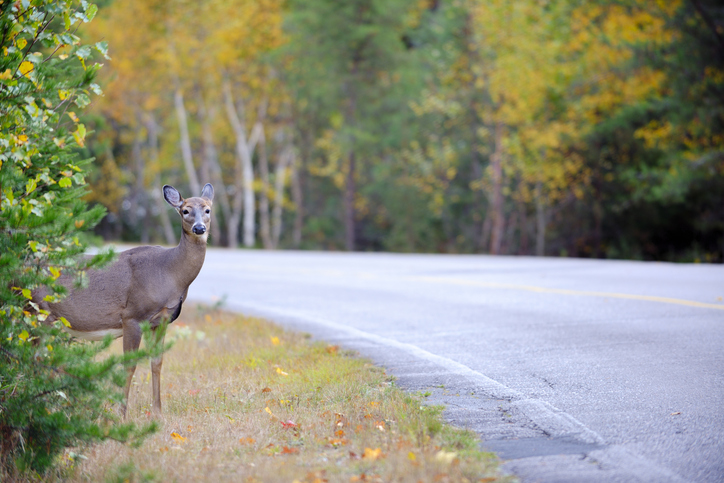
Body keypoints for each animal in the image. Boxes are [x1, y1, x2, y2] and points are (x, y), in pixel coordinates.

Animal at [34, 183, 214, 416]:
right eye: (185, 210)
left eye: (207, 210)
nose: (199, 228)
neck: (169, 273)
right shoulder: (132, 316)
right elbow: (129, 365)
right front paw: (121, 413)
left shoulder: (162, 320)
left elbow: (157, 362)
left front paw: (158, 412)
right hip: (38, 310)